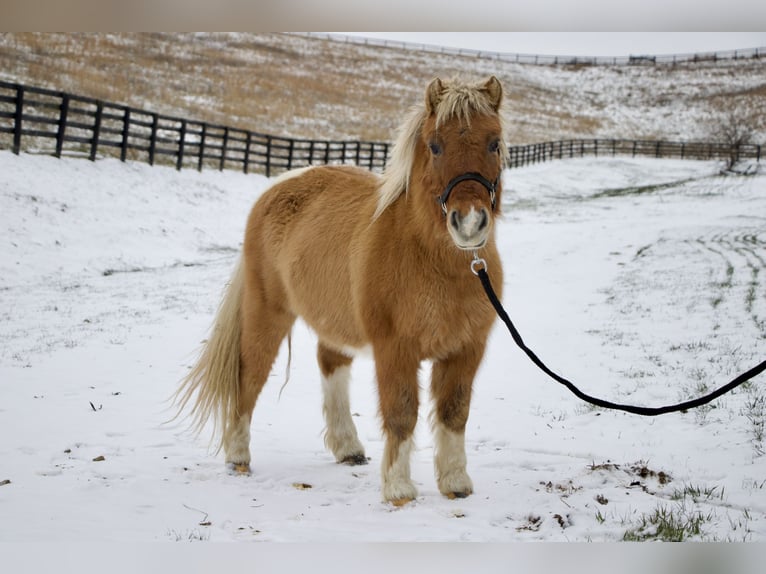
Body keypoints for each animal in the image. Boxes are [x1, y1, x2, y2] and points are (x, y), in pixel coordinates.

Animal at [175, 76, 507, 506]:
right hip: (267, 313)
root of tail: (278, 186)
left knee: (330, 363)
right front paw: (398, 489)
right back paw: (238, 457)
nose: (468, 223)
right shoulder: (395, 349)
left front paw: (455, 483)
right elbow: (401, 412)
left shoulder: (466, 349)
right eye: (435, 145)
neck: (432, 260)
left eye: (494, 142)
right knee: (250, 375)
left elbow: (454, 412)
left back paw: (348, 448)